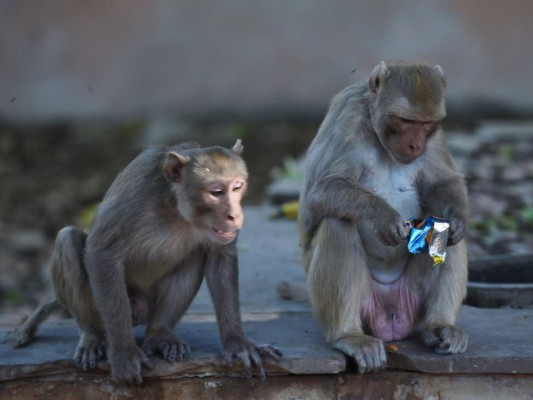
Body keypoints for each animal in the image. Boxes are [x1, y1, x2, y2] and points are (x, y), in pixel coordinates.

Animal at [10, 140, 280, 384]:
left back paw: (160, 334)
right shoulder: (134, 202)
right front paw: (124, 355)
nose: (234, 214)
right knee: (68, 239)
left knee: (194, 256)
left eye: (237, 187)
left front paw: (237, 343)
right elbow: (101, 254)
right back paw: (92, 335)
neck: (176, 209)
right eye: (216, 192)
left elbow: (219, 258)